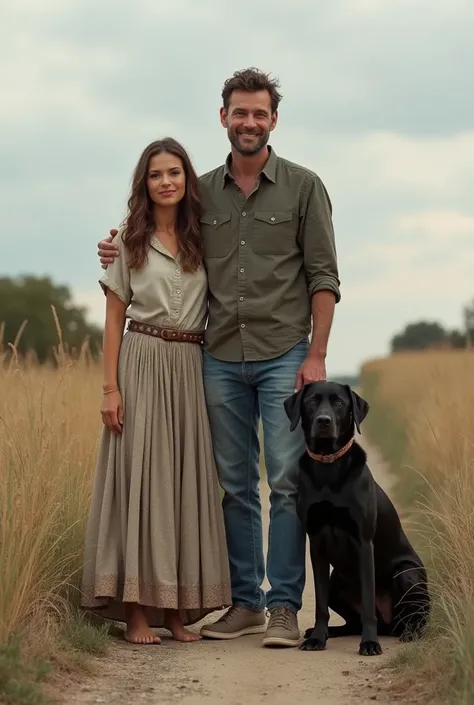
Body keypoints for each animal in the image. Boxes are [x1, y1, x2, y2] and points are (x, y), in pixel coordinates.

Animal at [284, 380, 432, 656]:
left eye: (339, 403)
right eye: (312, 401)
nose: (323, 421)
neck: (328, 467)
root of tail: (390, 625)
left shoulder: (364, 543)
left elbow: (367, 604)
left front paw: (370, 643)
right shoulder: (316, 543)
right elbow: (320, 605)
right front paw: (317, 638)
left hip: (407, 574)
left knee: (417, 617)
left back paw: (410, 633)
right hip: (336, 584)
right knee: (351, 622)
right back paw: (327, 632)